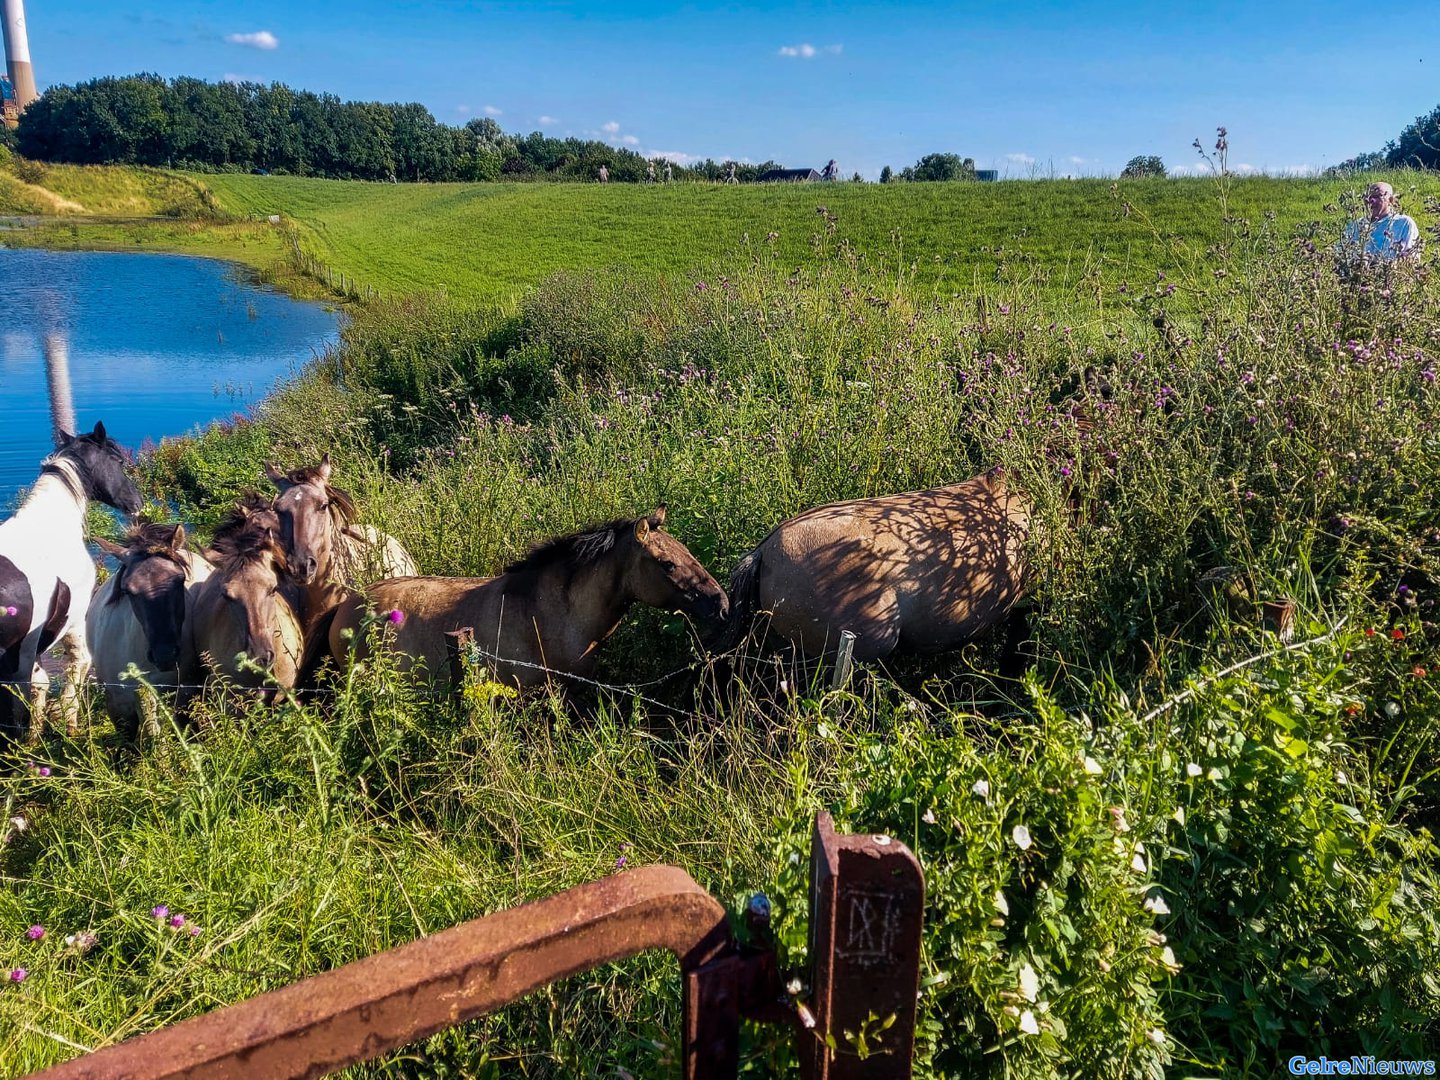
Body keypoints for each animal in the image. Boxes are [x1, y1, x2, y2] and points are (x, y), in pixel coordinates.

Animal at [0, 421, 144, 742]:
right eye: (119, 461)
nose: (137, 504)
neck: (49, 527)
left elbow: (40, 688)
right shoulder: (74, 625)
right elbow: (73, 677)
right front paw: (70, 732)